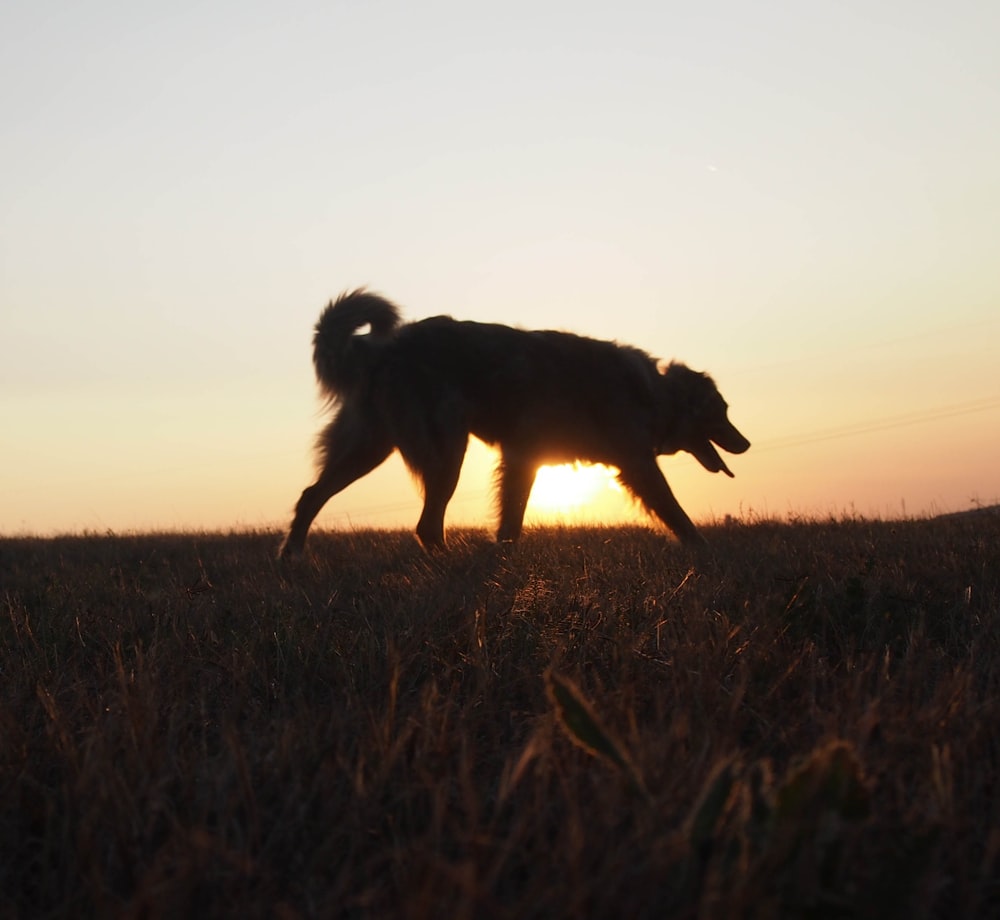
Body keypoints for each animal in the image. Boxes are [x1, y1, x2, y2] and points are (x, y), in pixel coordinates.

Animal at [278, 292, 748, 556]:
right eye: (722, 411)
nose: (744, 444)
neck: (654, 393)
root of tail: (381, 347)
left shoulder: (525, 459)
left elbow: (511, 522)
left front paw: (503, 558)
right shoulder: (635, 465)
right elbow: (675, 511)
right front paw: (704, 551)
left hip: (369, 448)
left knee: (310, 495)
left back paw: (293, 556)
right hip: (446, 454)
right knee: (426, 526)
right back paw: (449, 563)